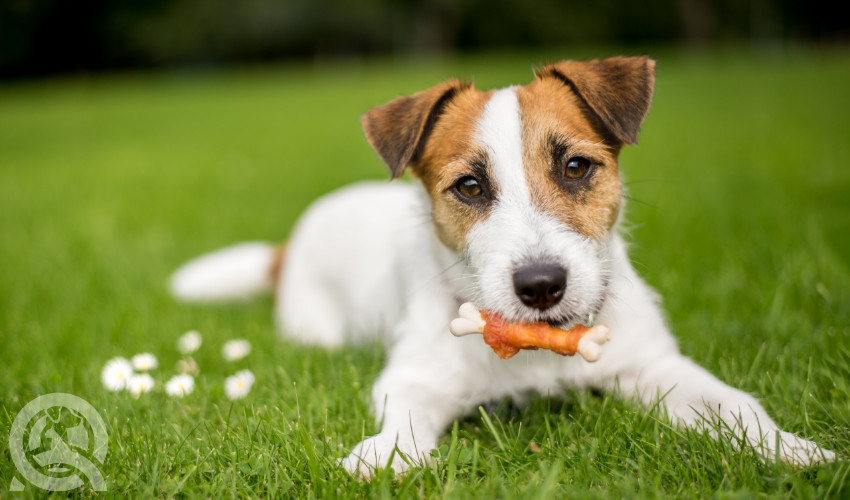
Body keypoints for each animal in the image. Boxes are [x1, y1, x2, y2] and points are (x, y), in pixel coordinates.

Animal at [169, 55, 832, 476]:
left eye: (575, 167)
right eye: (469, 186)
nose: (541, 286)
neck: (538, 349)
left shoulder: (655, 367)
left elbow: (735, 405)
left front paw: (792, 450)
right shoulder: (415, 378)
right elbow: (405, 419)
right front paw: (381, 456)